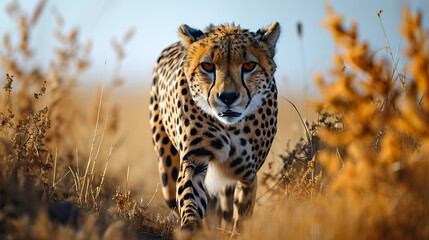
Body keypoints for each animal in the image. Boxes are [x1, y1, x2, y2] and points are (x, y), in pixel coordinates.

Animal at [149, 22, 280, 232]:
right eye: (208, 66)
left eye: (249, 65)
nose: (228, 97)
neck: (230, 127)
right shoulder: (195, 160)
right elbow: (190, 197)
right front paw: (192, 227)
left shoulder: (247, 174)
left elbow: (242, 213)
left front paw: (236, 231)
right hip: (166, 171)